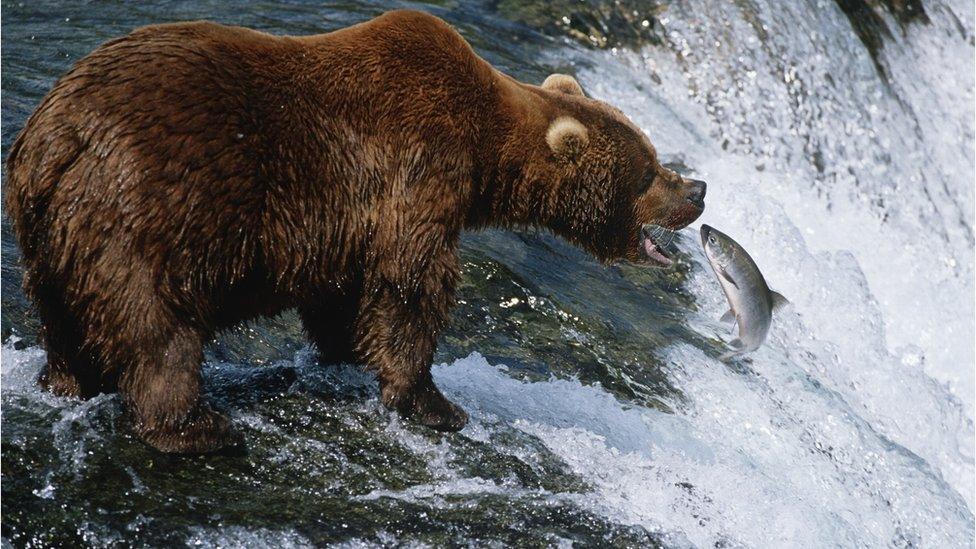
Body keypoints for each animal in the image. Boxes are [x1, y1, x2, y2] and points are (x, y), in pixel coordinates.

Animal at [3, 10, 704, 452]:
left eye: (653, 155)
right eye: (647, 172)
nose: (697, 190)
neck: (484, 149)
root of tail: (55, 134)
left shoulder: (343, 222)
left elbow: (344, 293)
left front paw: (344, 350)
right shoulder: (417, 170)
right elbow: (410, 285)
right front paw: (434, 403)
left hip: (52, 231)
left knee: (65, 315)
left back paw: (66, 381)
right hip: (148, 211)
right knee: (156, 325)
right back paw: (196, 429)